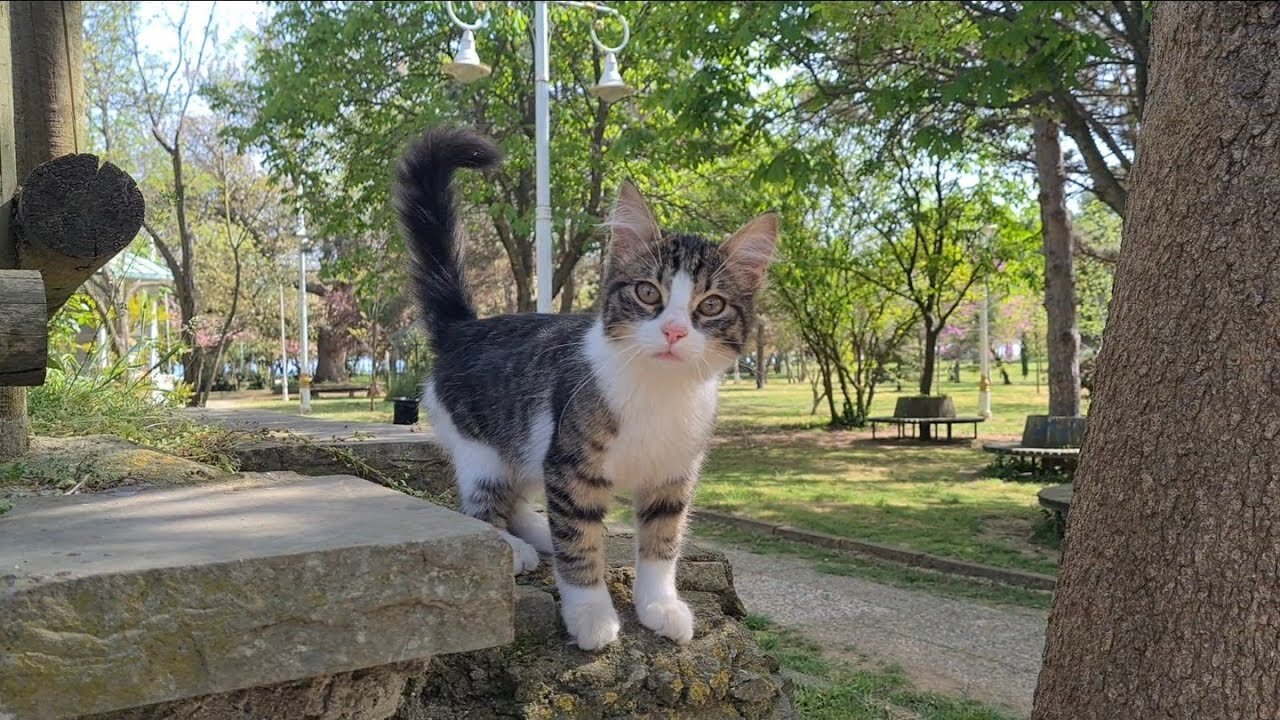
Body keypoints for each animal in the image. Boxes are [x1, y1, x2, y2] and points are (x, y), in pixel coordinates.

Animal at [394, 126, 773, 648]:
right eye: (648, 293)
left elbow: (662, 543)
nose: (675, 331)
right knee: (479, 507)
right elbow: (579, 543)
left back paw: (535, 533)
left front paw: (660, 604)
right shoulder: (570, 466)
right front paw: (591, 614)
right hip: (483, 446)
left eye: (711, 305)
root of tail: (464, 327)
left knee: (519, 500)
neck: (658, 389)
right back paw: (513, 547)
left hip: (528, 448)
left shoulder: (672, 475)